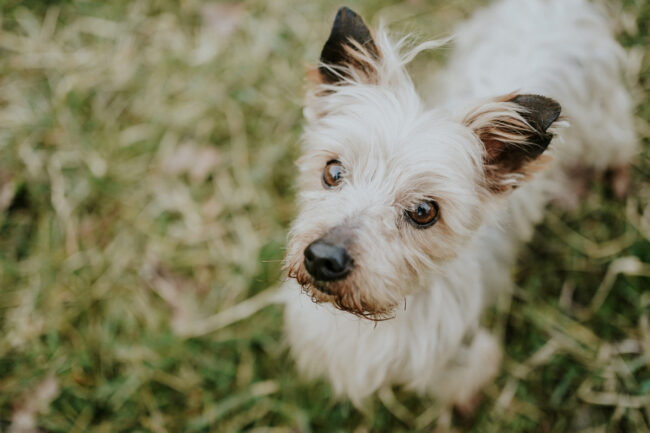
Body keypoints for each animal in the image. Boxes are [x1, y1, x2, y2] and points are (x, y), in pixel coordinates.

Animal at [280, 0, 636, 412]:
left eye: (424, 212)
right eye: (332, 171)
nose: (323, 258)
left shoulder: (462, 351)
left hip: (603, 128)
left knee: (623, 143)